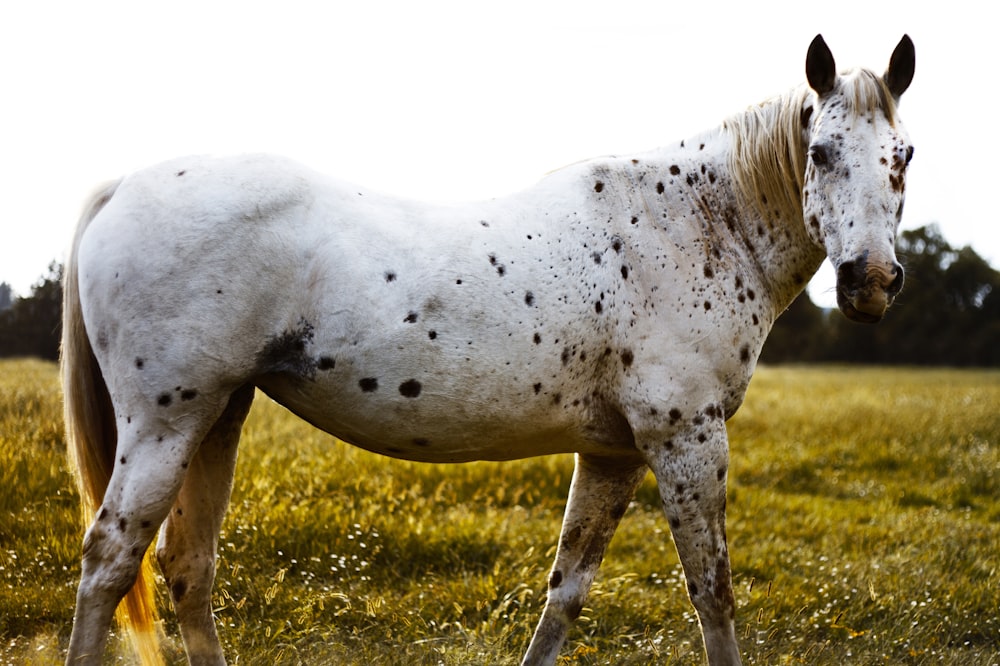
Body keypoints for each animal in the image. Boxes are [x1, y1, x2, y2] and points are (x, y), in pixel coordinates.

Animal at [62, 33, 916, 660]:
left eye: (903, 158)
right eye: (822, 153)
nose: (871, 281)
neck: (698, 223)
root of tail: (122, 185)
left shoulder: (613, 454)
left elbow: (567, 591)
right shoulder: (685, 438)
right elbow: (713, 591)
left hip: (218, 418)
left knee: (187, 569)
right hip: (167, 424)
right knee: (109, 562)